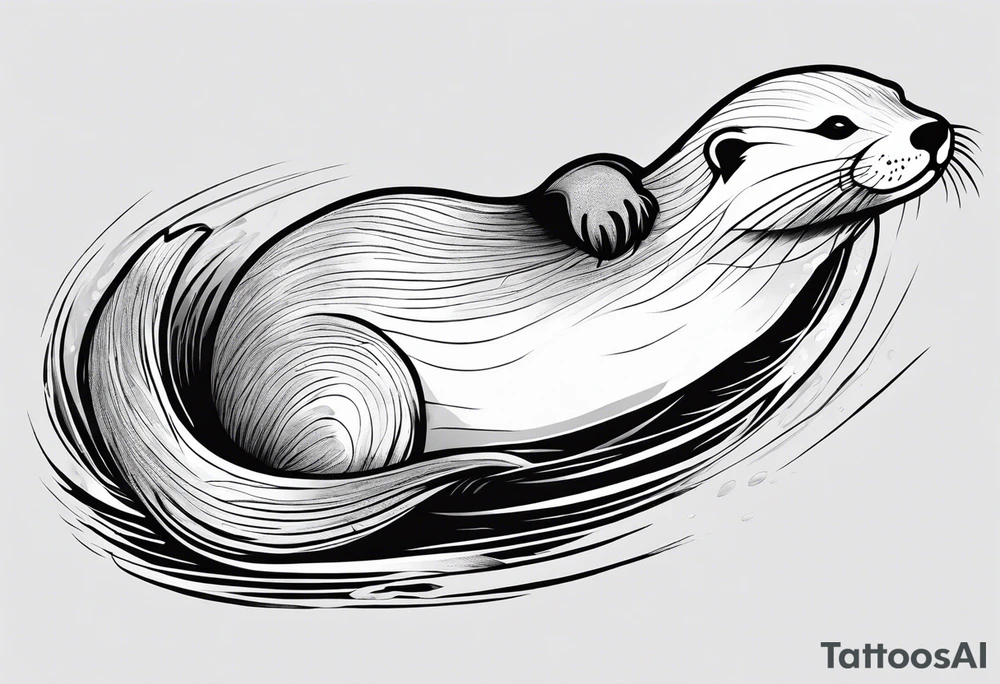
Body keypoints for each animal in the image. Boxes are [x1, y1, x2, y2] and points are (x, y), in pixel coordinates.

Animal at [47, 66, 968, 568]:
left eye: (898, 92)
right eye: (837, 124)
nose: (930, 129)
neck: (697, 261)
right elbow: (583, 175)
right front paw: (612, 214)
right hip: (351, 377)